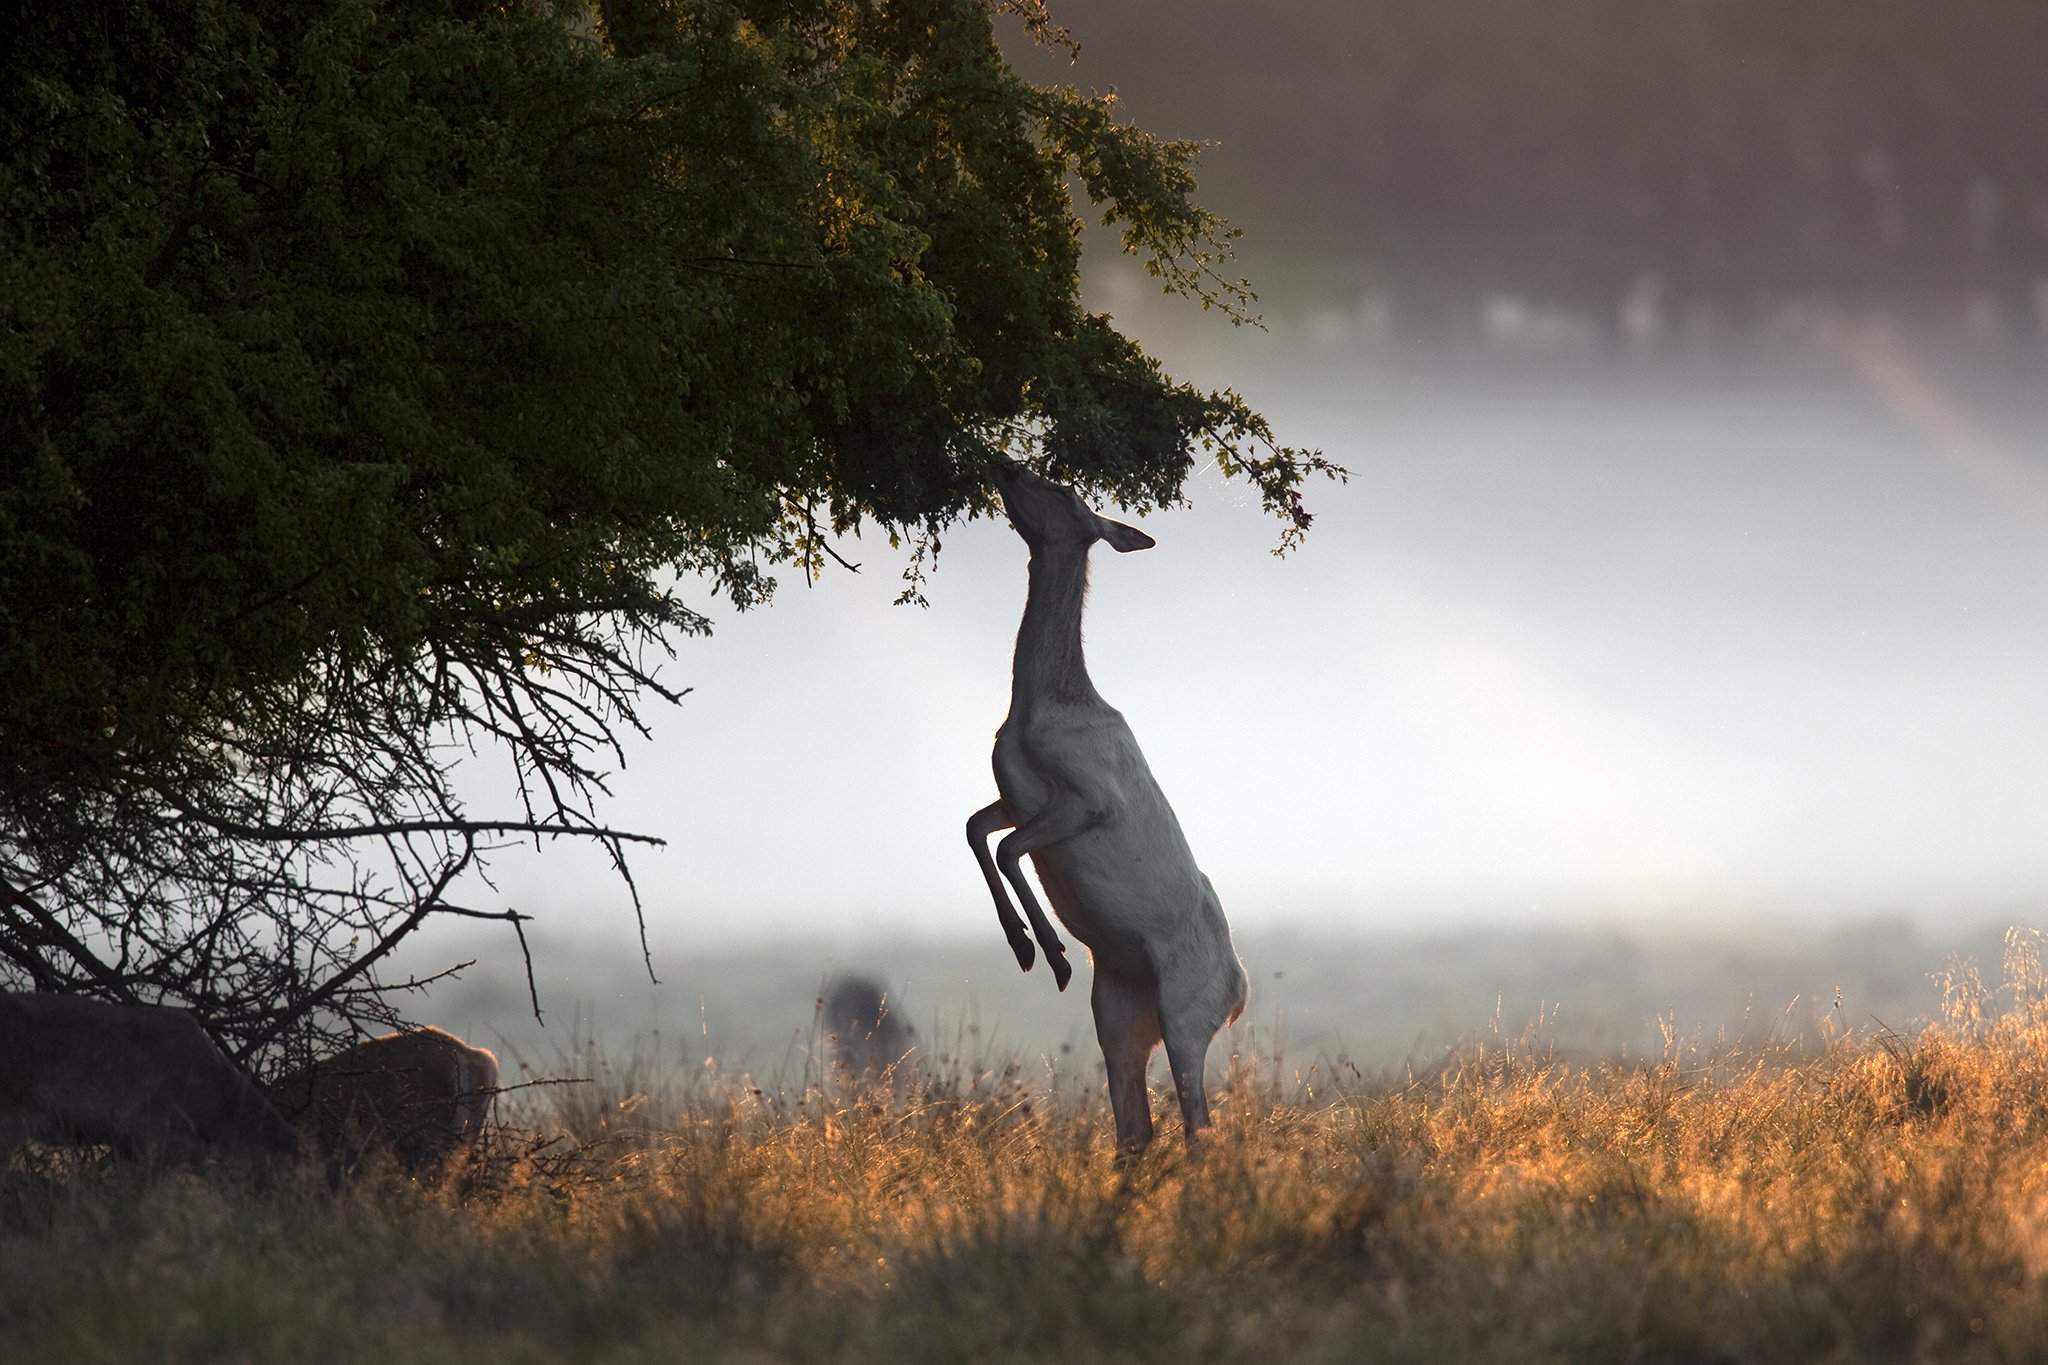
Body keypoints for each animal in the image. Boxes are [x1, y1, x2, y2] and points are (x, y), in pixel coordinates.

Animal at [962, 462, 1245, 1154]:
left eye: (1063, 491)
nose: (1004, 464)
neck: (1041, 709)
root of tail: (1240, 991)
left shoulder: (1090, 800)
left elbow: (1007, 846)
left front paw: (1050, 954)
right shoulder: (1017, 797)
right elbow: (977, 829)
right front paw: (1025, 947)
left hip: (1186, 1013)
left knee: (1198, 1123)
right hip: (1117, 1015)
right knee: (1136, 1127)